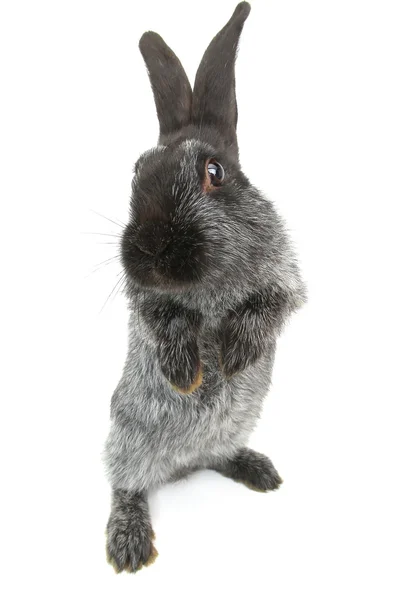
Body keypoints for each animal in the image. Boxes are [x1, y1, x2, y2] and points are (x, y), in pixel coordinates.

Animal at [103, 3, 306, 576]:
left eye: (214, 171)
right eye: (135, 174)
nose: (149, 248)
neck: (206, 282)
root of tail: (182, 464)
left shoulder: (285, 278)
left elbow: (270, 305)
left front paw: (234, 355)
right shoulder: (147, 300)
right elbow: (163, 318)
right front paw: (186, 373)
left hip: (232, 428)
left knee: (218, 454)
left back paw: (259, 470)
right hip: (127, 438)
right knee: (125, 486)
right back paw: (129, 542)